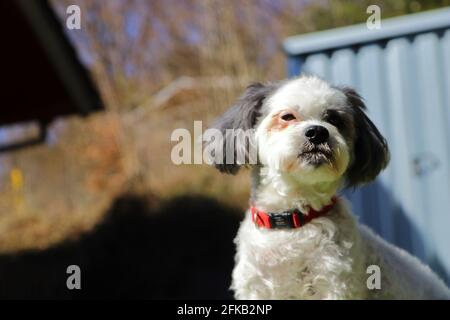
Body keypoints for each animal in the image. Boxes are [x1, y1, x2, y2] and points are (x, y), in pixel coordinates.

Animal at [206, 75, 450, 300]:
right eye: (287, 116)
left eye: (334, 119)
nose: (318, 132)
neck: (295, 221)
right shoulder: (255, 289)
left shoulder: (335, 285)